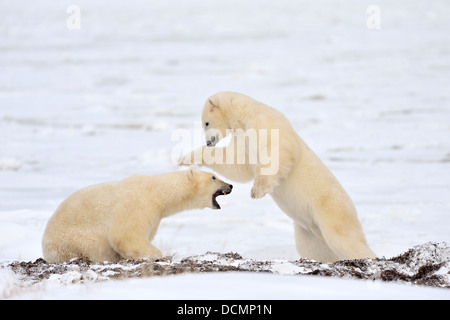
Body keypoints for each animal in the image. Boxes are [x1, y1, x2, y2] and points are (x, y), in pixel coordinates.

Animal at [42, 169, 234, 264]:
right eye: (214, 177)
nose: (230, 185)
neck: (158, 191)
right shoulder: (138, 204)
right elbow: (124, 235)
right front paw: (157, 255)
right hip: (72, 240)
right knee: (92, 247)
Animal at [180, 91, 376, 262]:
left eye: (206, 123)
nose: (208, 142)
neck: (247, 115)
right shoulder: (244, 143)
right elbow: (235, 164)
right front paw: (184, 158)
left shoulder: (267, 126)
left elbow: (276, 152)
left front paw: (257, 191)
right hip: (308, 232)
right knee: (316, 249)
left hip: (331, 210)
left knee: (344, 239)